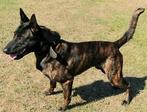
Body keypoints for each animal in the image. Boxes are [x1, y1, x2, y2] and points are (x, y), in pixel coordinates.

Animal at [3, 8, 145, 111]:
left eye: (21, 38)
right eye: (14, 35)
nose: (4, 50)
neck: (48, 51)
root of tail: (114, 44)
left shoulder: (67, 81)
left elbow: (66, 97)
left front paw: (64, 107)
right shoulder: (53, 78)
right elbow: (52, 83)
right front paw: (50, 92)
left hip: (113, 75)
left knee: (128, 85)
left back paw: (126, 100)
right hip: (110, 72)